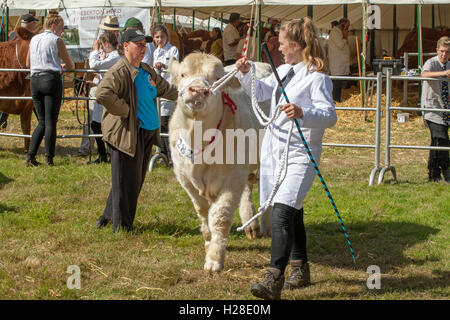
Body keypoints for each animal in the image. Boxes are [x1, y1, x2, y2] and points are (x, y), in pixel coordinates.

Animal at [167, 53, 268, 272]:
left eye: (217, 77)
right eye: (183, 74)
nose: (198, 90)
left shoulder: (232, 179)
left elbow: (220, 218)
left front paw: (215, 258)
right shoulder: (185, 179)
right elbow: (203, 212)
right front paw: (208, 241)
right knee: (247, 191)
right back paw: (250, 223)